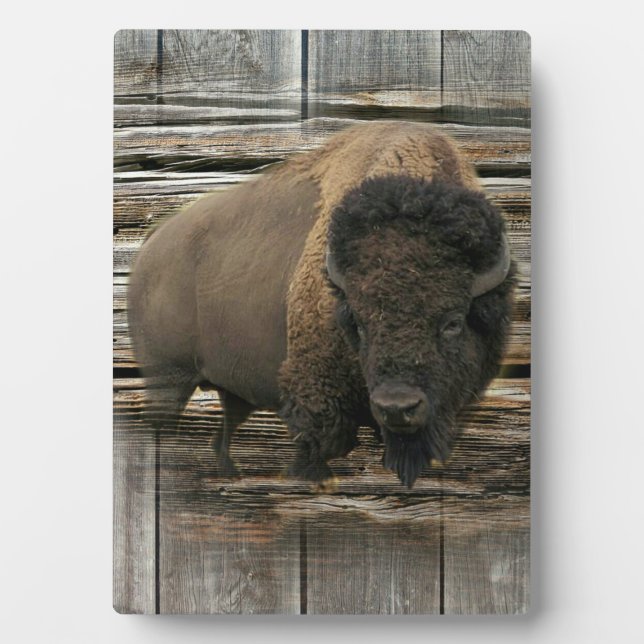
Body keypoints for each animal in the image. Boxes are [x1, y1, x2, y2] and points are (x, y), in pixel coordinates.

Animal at [127, 121, 515, 488]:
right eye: (358, 322)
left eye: (453, 322)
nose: (397, 407)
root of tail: (152, 243)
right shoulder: (317, 401)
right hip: (168, 379)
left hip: (226, 389)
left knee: (221, 438)